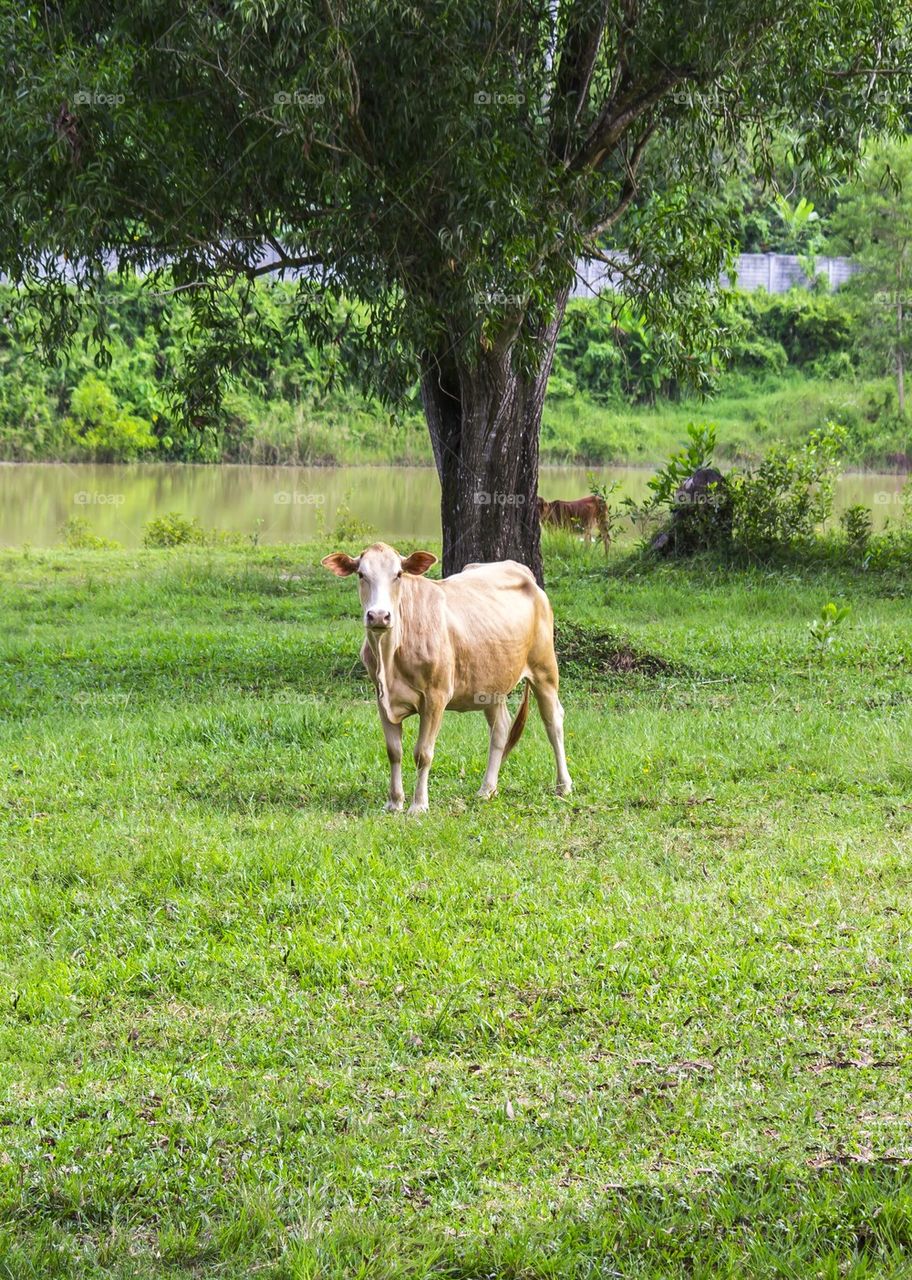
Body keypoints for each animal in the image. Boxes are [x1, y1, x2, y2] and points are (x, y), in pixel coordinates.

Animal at [321, 542, 572, 814]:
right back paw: (487, 789)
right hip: (491, 683)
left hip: (544, 668)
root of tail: (519, 569)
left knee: (553, 721)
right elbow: (394, 751)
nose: (378, 615)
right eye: (361, 574)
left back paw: (564, 785)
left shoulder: (436, 697)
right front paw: (394, 802)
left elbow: (423, 753)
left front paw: (418, 805)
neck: (389, 658)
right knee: (500, 729)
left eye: (398, 574)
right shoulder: (382, 697)